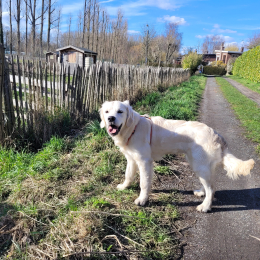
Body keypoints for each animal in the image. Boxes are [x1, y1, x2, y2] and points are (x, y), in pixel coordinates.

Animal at [98, 100, 255, 212]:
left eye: (120, 111)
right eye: (107, 111)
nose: (111, 118)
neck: (133, 127)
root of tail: (217, 135)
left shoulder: (144, 161)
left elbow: (144, 183)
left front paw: (142, 200)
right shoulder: (131, 159)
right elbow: (128, 175)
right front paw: (124, 187)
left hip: (199, 164)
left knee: (211, 188)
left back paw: (205, 207)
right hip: (198, 164)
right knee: (209, 184)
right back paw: (201, 192)